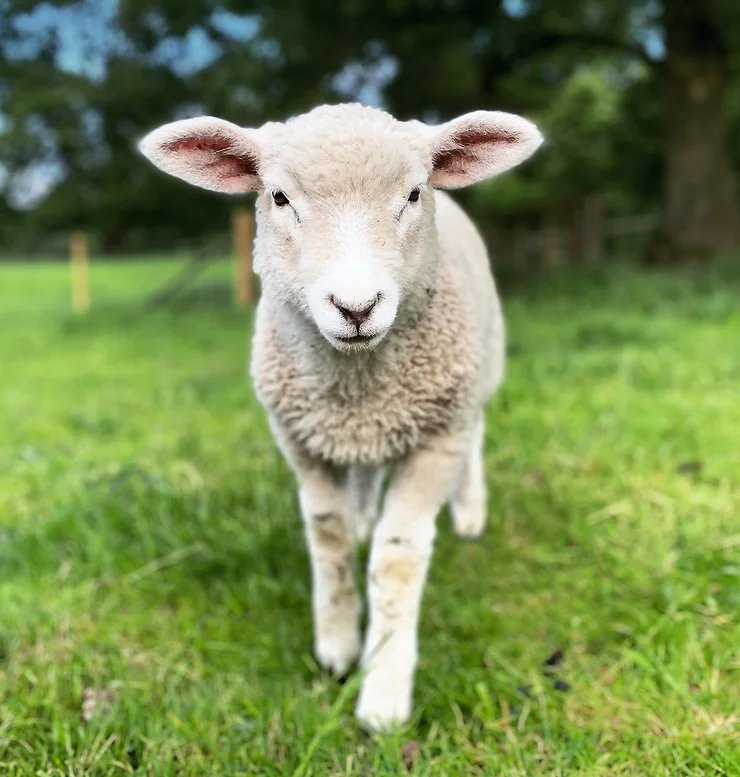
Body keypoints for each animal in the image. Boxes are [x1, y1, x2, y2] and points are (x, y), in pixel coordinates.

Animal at [137, 101, 544, 728]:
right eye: (278, 196)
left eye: (414, 193)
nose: (356, 308)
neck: (357, 381)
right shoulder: (301, 439)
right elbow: (326, 536)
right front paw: (337, 645)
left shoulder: (437, 438)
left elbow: (396, 562)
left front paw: (384, 692)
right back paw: (363, 518)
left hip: (477, 374)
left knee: (476, 433)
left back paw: (470, 511)